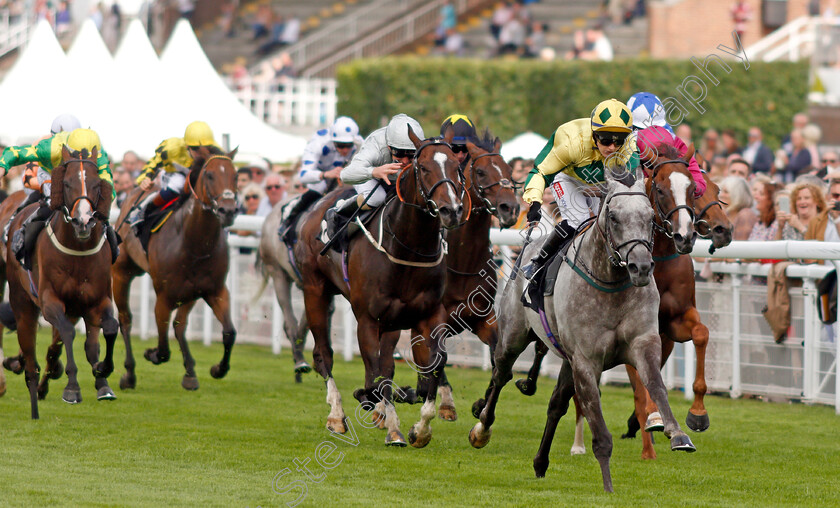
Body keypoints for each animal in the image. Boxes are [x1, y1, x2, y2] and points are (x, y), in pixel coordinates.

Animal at [4, 146, 119, 416]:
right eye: (66, 183)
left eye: (97, 183)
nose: (83, 221)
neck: (78, 251)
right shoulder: (50, 301)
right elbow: (67, 334)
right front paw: (72, 388)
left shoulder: (98, 301)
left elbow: (110, 329)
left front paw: (103, 372)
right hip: (22, 300)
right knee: (30, 342)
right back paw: (30, 378)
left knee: (58, 349)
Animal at [111, 145, 240, 390]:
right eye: (210, 175)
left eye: (235, 175)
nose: (228, 211)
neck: (195, 243)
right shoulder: (164, 297)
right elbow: (163, 350)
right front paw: (150, 353)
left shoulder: (215, 290)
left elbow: (229, 332)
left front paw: (218, 369)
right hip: (122, 272)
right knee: (125, 319)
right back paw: (129, 373)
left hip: (190, 292)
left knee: (180, 325)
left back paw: (190, 372)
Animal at [296, 128, 466, 448]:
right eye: (424, 168)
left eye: (457, 167)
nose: (452, 210)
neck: (409, 248)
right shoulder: (367, 318)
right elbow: (376, 378)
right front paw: (392, 426)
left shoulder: (429, 314)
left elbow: (433, 364)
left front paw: (420, 428)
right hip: (315, 291)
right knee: (324, 354)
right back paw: (337, 414)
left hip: (390, 321)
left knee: (385, 363)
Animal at [466, 167, 696, 492]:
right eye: (613, 216)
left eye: (650, 216)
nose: (640, 267)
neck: (611, 282)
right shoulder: (587, 361)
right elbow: (599, 430)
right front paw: (608, 486)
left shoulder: (643, 343)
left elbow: (656, 386)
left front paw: (677, 433)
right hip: (514, 336)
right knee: (501, 375)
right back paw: (481, 427)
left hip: (565, 357)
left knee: (555, 404)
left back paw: (540, 463)